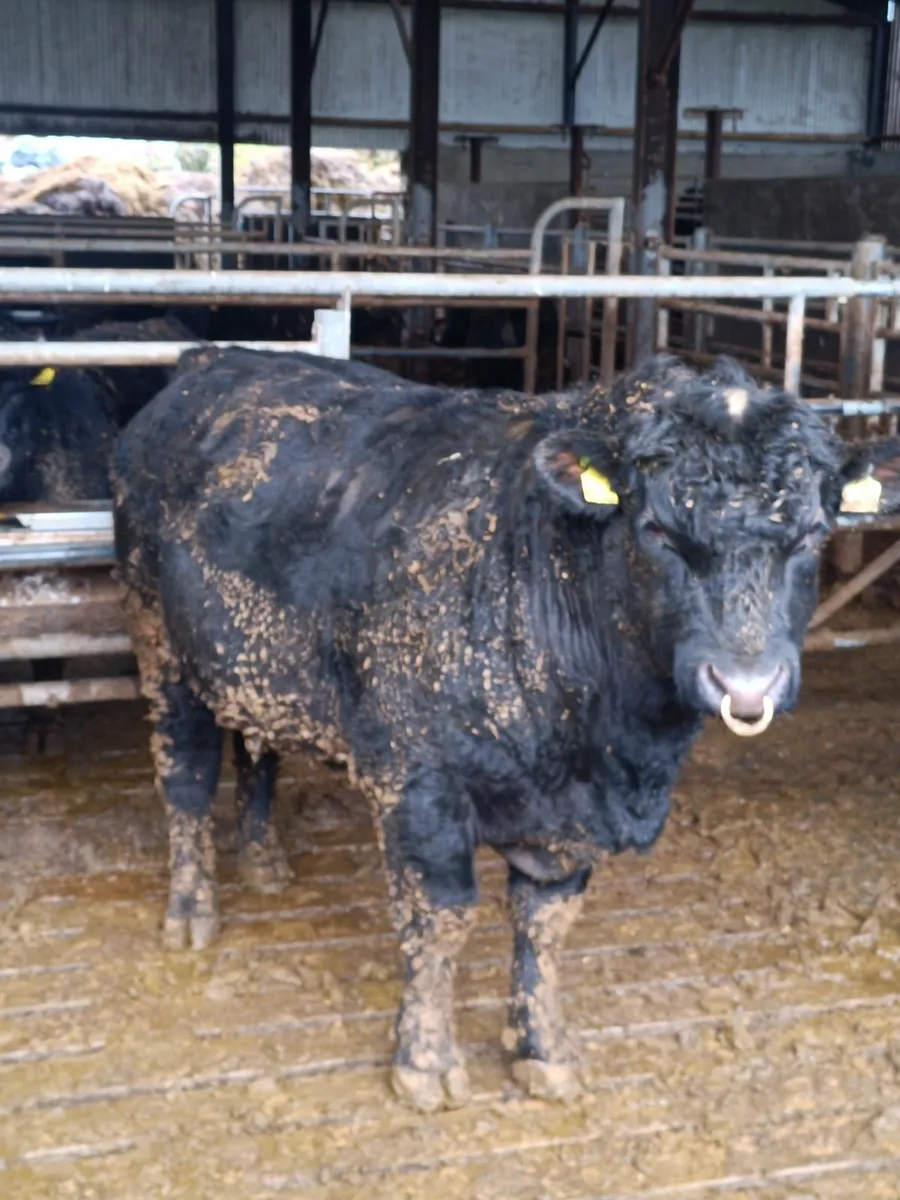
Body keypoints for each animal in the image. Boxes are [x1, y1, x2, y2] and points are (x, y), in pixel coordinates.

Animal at [111, 349, 900, 1113]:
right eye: (655, 530)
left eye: (814, 533)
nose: (746, 684)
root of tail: (210, 361)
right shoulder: (417, 782)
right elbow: (440, 917)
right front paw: (424, 1062)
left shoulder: (570, 819)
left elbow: (545, 924)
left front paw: (543, 1050)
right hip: (160, 643)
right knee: (185, 778)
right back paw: (192, 910)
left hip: (255, 667)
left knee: (258, 747)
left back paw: (263, 859)